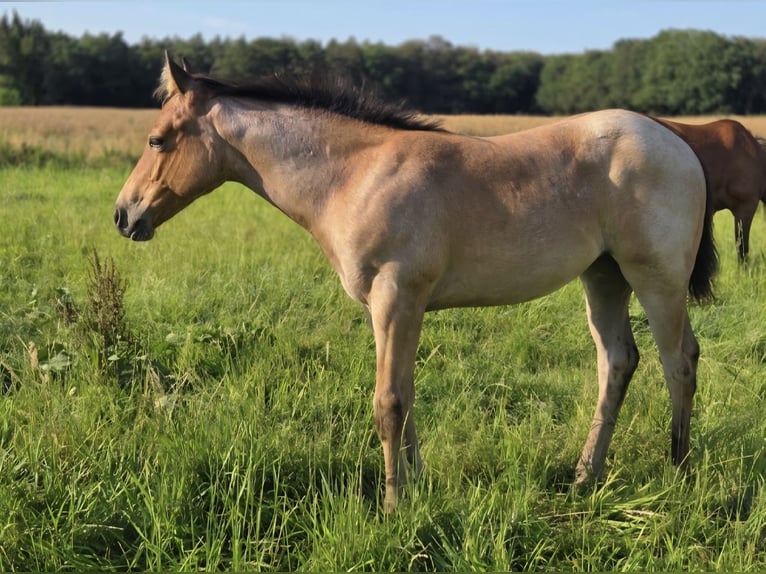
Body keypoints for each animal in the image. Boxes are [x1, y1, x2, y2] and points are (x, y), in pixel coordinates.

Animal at [114, 54, 718, 512]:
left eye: (157, 140)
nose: (124, 215)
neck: (355, 175)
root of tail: (676, 140)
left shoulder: (396, 297)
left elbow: (387, 402)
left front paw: (391, 505)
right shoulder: (388, 309)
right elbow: (405, 394)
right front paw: (417, 488)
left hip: (655, 277)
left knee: (679, 360)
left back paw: (679, 471)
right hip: (604, 276)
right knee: (617, 361)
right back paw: (585, 476)